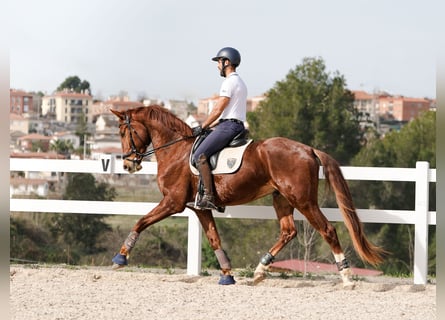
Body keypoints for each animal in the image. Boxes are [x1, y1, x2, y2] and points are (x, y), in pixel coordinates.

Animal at [109, 105, 384, 288]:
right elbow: (214, 239)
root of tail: (308, 149)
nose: (128, 165)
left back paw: (346, 278)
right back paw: (260, 270)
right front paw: (227, 274)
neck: (176, 151)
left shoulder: (173, 202)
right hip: (281, 198)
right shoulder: (199, 208)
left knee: (327, 230)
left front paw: (120, 258)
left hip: (303, 200)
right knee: (288, 231)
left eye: (123, 131)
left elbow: (141, 221)